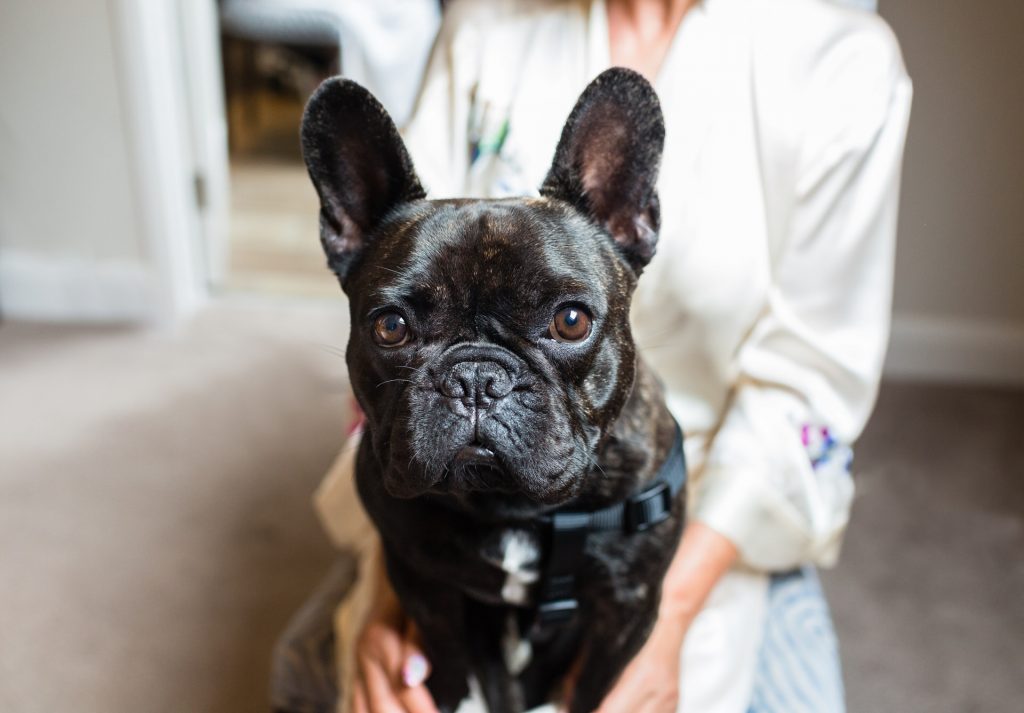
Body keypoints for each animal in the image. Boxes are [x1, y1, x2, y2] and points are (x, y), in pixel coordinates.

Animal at [303, 66, 688, 713]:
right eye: (391, 327)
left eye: (571, 321)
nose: (478, 379)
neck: (510, 507)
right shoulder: (423, 584)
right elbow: (451, 665)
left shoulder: (627, 608)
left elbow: (590, 689)